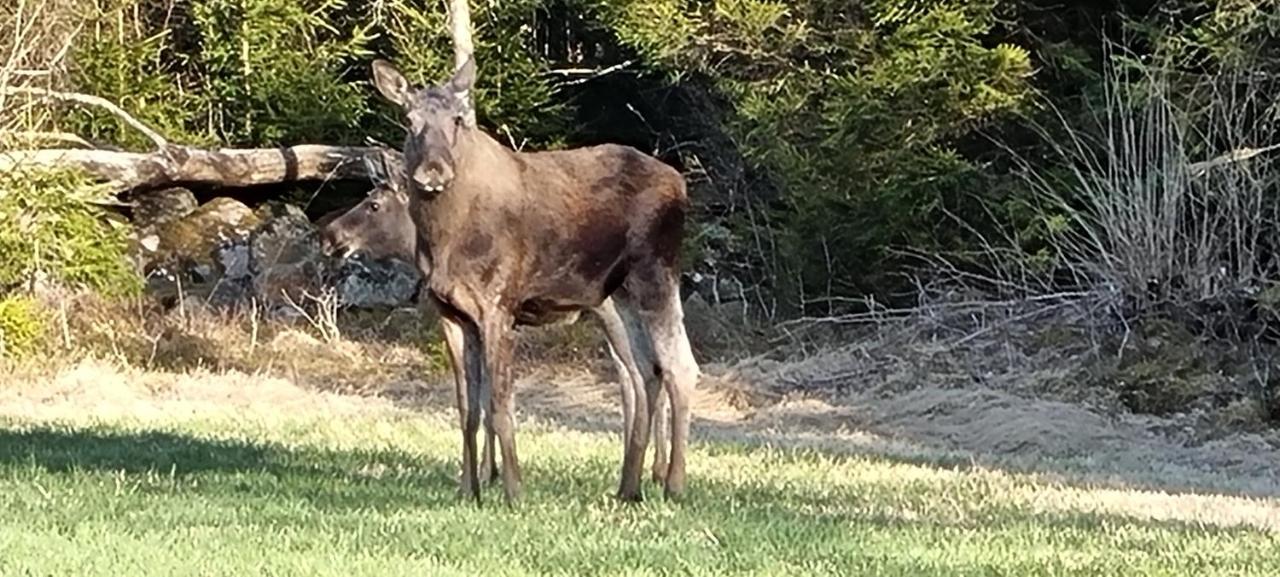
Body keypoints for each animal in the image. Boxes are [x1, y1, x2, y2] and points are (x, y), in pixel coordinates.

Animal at [320, 177, 675, 491]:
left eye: (373, 204)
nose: (329, 234)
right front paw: (486, 473)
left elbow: (492, 401)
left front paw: (489, 473)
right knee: (640, 377)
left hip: (613, 310)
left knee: (647, 374)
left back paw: (654, 471)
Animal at [366, 56, 706, 504]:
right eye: (409, 120)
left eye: (457, 119)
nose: (433, 172)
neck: (440, 240)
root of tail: (681, 184)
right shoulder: (451, 314)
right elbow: (466, 409)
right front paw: (468, 490)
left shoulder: (497, 307)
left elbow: (499, 406)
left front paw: (513, 492)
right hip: (618, 295)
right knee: (644, 373)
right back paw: (627, 488)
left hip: (656, 274)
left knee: (679, 366)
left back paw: (674, 485)